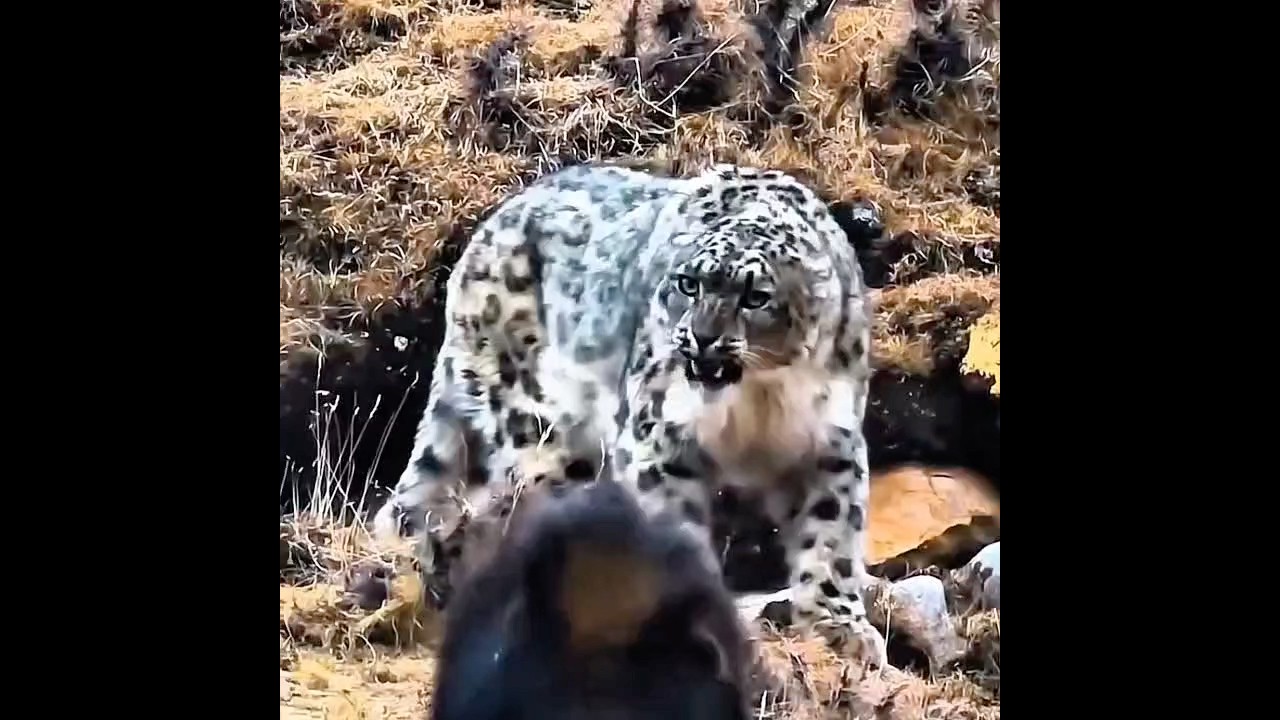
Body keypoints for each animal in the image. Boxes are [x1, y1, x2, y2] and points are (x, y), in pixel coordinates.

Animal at [372, 162, 886, 668]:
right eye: (688, 284)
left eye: (755, 297)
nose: (702, 338)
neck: (758, 400)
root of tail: (484, 234)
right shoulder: (657, 438)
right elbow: (673, 524)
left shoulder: (828, 443)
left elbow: (833, 532)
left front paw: (838, 624)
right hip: (539, 427)